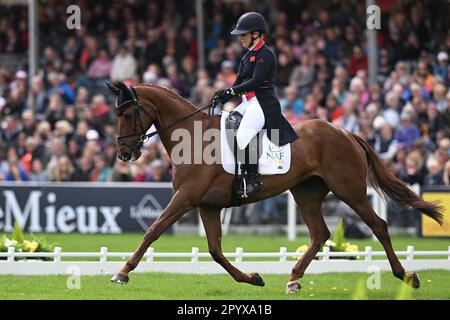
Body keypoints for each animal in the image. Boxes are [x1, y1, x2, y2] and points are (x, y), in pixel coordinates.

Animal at [106, 82, 442, 292]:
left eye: (127, 114)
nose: (124, 154)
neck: (193, 136)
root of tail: (345, 132)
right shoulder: (208, 204)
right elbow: (215, 250)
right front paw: (252, 278)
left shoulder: (186, 197)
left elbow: (153, 230)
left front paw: (122, 272)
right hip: (306, 193)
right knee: (320, 234)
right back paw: (293, 279)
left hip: (350, 191)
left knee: (379, 225)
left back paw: (406, 276)